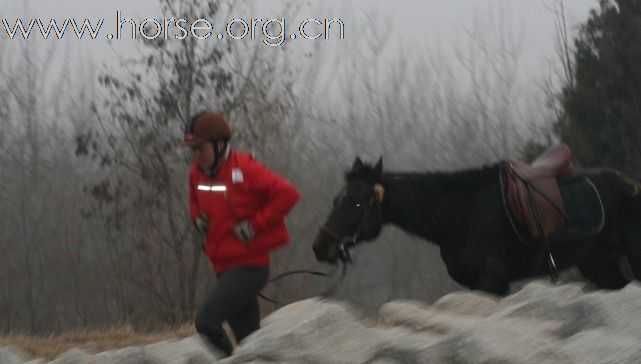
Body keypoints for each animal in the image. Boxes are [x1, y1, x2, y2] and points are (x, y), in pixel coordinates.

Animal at [312, 151, 640, 296]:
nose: (321, 246)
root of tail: (631, 183)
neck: (460, 215)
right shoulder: (473, 284)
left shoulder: (492, 282)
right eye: (336, 199)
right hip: (599, 265)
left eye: (356, 202)